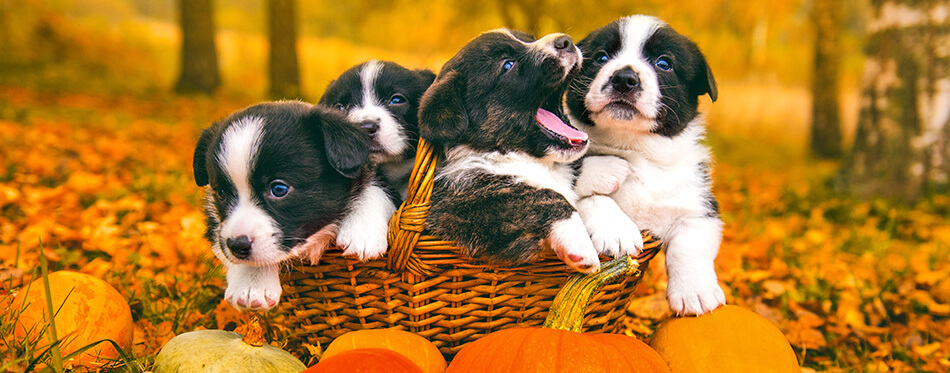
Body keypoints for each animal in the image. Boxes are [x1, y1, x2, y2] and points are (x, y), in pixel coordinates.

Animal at [195, 100, 396, 310]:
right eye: (221, 193)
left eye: (279, 189)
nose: (236, 245)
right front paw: (251, 283)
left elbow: (373, 187)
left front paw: (362, 231)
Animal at [420, 29, 608, 272]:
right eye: (507, 65)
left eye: (530, 39)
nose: (565, 41)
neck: (516, 155)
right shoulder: (459, 206)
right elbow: (545, 195)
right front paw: (580, 245)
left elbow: (571, 172)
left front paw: (613, 167)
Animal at [564, 15, 728, 314]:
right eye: (601, 57)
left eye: (664, 63)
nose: (624, 79)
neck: (635, 147)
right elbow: (591, 197)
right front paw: (617, 230)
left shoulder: (698, 204)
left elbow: (690, 244)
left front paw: (695, 292)